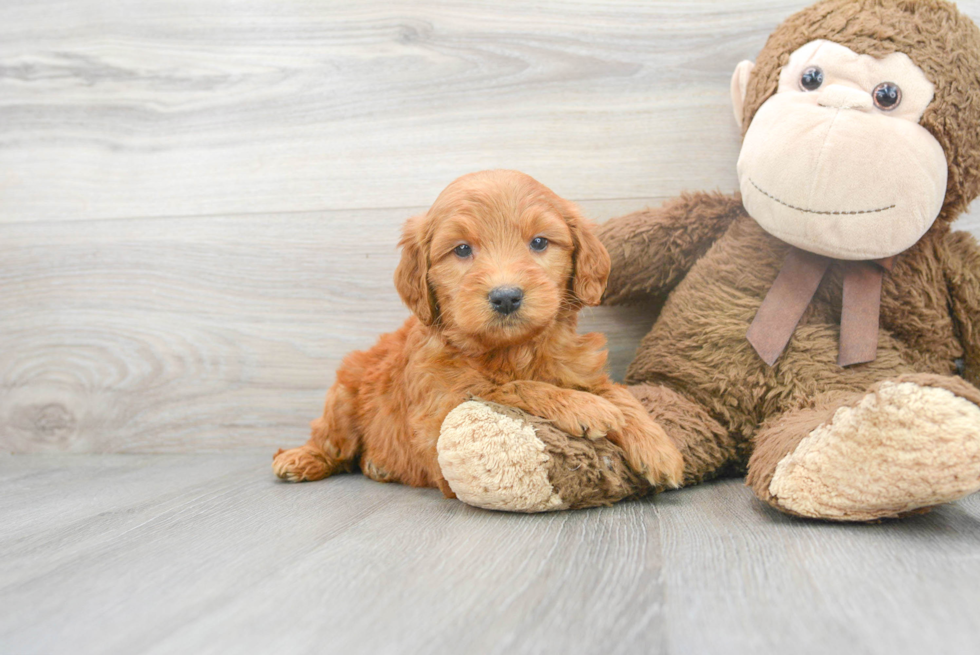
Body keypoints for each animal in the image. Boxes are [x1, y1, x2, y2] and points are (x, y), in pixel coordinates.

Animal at [272, 169, 684, 498]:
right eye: (461, 250)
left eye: (539, 242)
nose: (505, 296)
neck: (513, 350)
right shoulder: (441, 411)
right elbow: (509, 387)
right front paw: (584, 407)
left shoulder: (582, 368)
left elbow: (620, 395)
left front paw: (659, 449)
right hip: (344, 392)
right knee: (333, 442)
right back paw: (301, 458)